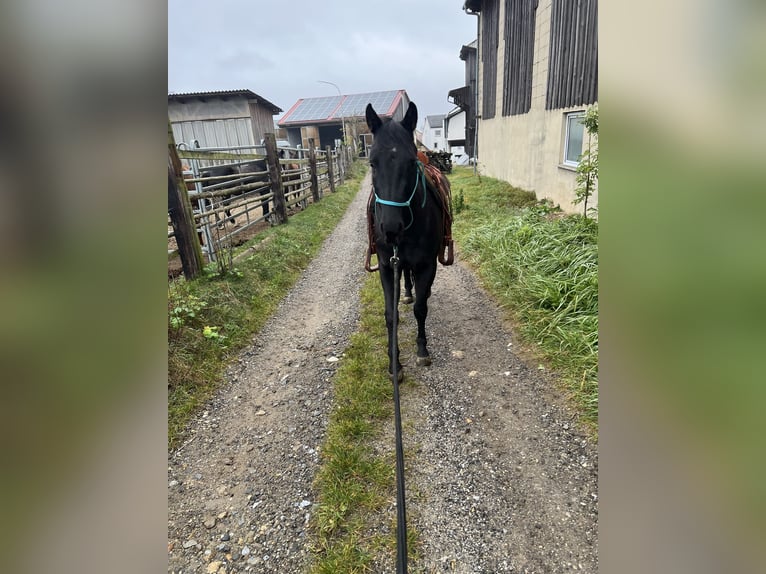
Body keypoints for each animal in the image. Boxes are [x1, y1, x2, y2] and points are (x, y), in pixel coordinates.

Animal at [368, 102, 448, 382]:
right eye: (372, 163)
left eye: (411, 163)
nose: (391, 228)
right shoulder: (386, 265)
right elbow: (391, 315)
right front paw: (395, 363)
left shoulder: (426, 265)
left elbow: (421, 309)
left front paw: (422, 350)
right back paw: (407, 293)